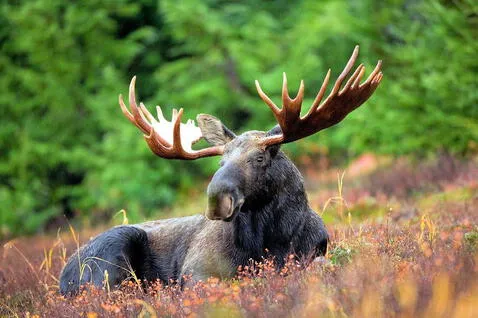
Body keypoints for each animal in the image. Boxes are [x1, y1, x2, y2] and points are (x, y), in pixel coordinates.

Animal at [59, 46, 382, 296]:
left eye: (259, 158)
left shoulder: (315, 253)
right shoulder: (196, 272)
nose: (216, 199)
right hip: (111, 256)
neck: (273, 241)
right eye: (220, 162)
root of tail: (63, 278)